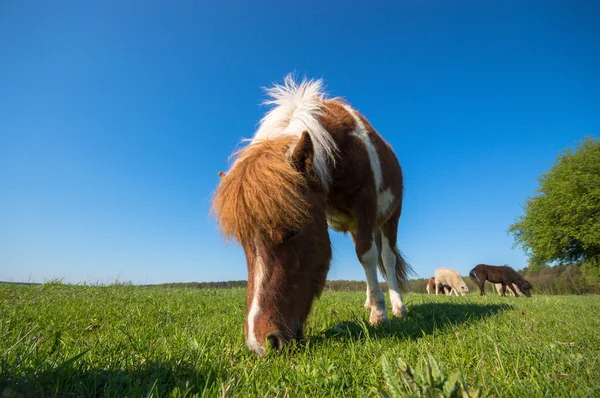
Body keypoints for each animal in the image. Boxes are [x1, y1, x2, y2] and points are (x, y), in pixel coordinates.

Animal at [212, 74, 412, 354]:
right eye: (244, 244)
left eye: (293, 231)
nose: (260, 343)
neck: (343, 147)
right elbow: (364, 258)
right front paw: (373, 305)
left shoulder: (366, 204)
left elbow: (368, 255)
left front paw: (380, 314)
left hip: (390, 219)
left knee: (387, 258)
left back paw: (397, 306)